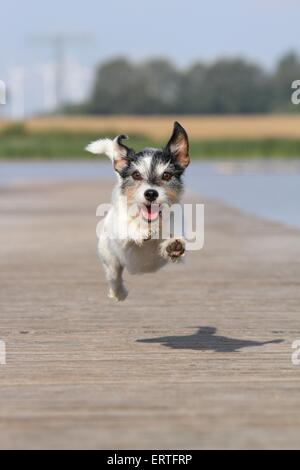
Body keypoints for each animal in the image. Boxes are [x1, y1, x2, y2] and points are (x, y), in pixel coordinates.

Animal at [86, 119, 190, 300]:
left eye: (167, 175)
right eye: (136, 175)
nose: (151, 193)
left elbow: (173, 238)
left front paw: (173, 246)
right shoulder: (121, 236)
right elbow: (127, 231)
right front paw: (140, 233)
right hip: (110, 260)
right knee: (114, 278)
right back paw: (119, 293)